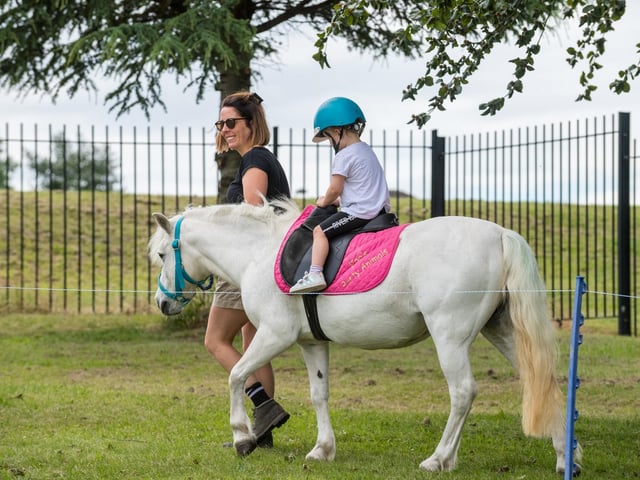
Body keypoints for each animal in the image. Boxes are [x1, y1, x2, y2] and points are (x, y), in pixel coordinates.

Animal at [148, 199, 581, 474]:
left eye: (161, 255)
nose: (162, 303)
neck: (259, 252)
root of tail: (501, 234)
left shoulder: (273, 335)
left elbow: (236, 375)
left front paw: (241, 436)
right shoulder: (311, 343)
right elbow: (319, 394)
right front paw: (323, 450)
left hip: (450, 336)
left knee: (463, 392)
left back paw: (439, 459)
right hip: (501, 329)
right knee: (542, 380)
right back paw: (566, 455)